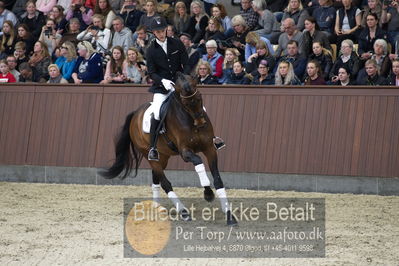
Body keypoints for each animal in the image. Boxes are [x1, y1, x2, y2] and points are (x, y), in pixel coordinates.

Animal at [100, 72, 238, 224]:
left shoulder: (210, 149)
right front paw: (208, 193)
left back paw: (156, 206)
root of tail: (135, 114)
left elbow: (218, 180)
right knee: (165, 183)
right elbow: (198, 162)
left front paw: (229, 215)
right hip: (149, 155)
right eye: (185, 103)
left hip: (163, 157)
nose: (201, 123)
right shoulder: (185, 152)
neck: (190, 120)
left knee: (156, 178)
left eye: (200, 97)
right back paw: (183, 212)